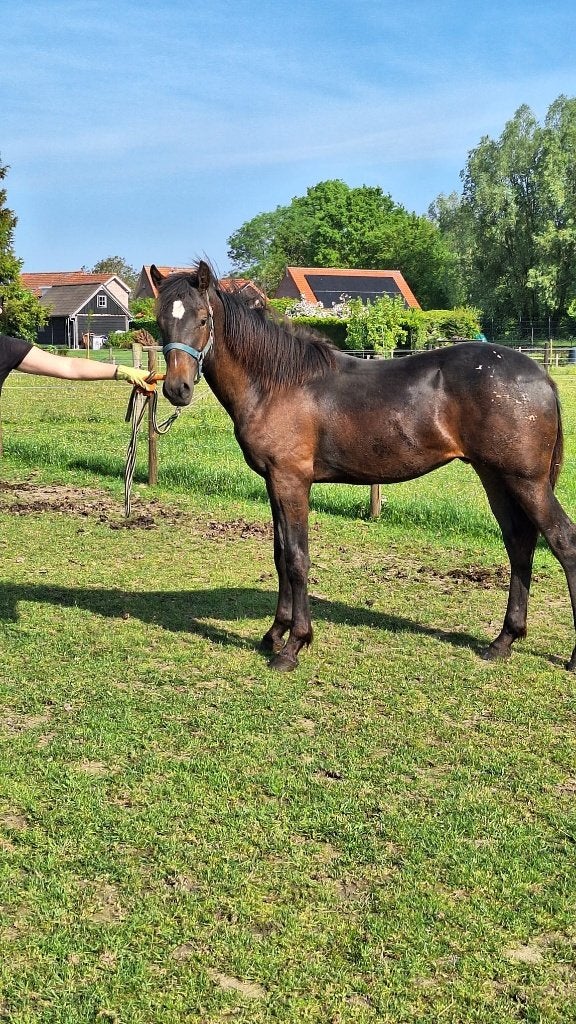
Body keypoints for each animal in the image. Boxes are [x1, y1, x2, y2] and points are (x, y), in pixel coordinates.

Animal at [152, 261, 576, 673]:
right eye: (160, 320)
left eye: (202, 319)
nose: (176, 389)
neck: (277, 383)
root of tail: (541, 375)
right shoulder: (274, 482)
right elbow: (280, 554)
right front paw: (274, 633)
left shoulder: (292, 481)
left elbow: (297, 559)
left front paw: (293, 646)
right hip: (495, 478)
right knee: (519, 543)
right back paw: (503, 641)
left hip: (527, 482)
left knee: (563, 542)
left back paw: (568, 656)